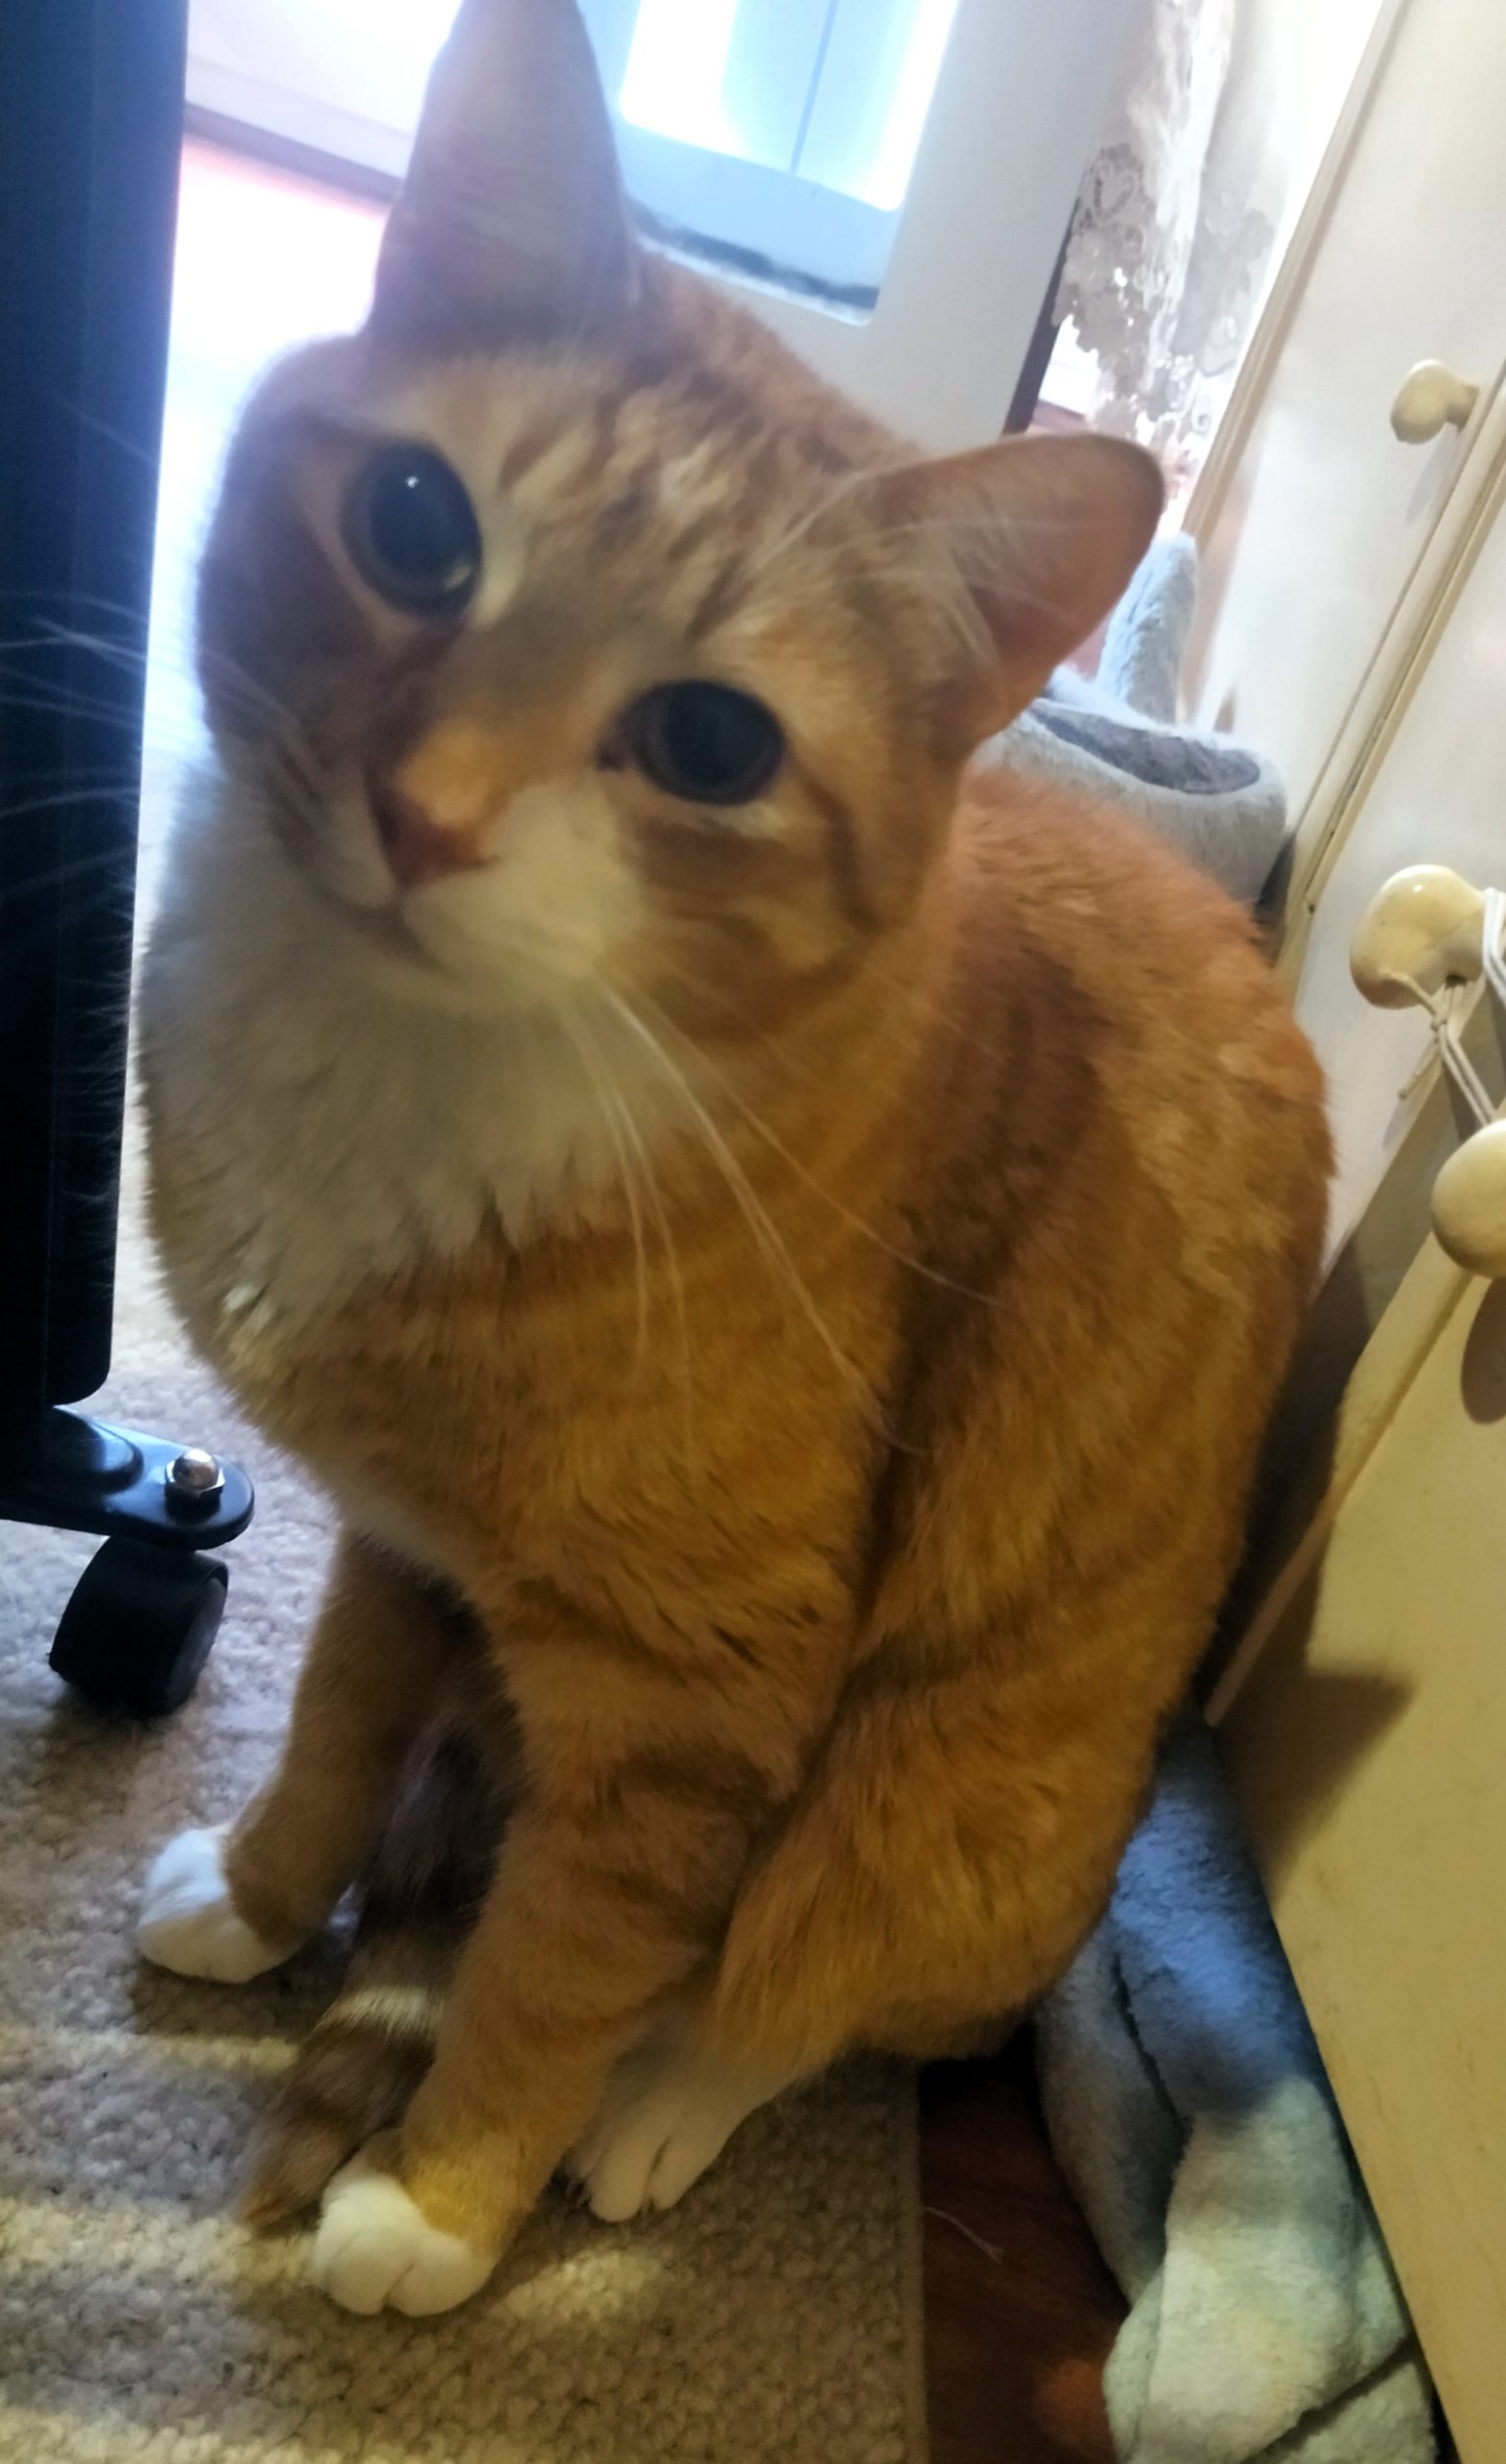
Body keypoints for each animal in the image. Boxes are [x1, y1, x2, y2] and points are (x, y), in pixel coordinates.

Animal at [135, 0, 1330, 2319]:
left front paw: (445, 2191)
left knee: (801, 1982)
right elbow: (326, 1731)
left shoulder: (694, 1700)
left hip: (941, 1802)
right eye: (414, 526)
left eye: (706, 745)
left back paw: (655, 2104)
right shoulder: (402, 1543)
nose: (422, 813)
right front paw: (260, 1892)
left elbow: (559, 1960)